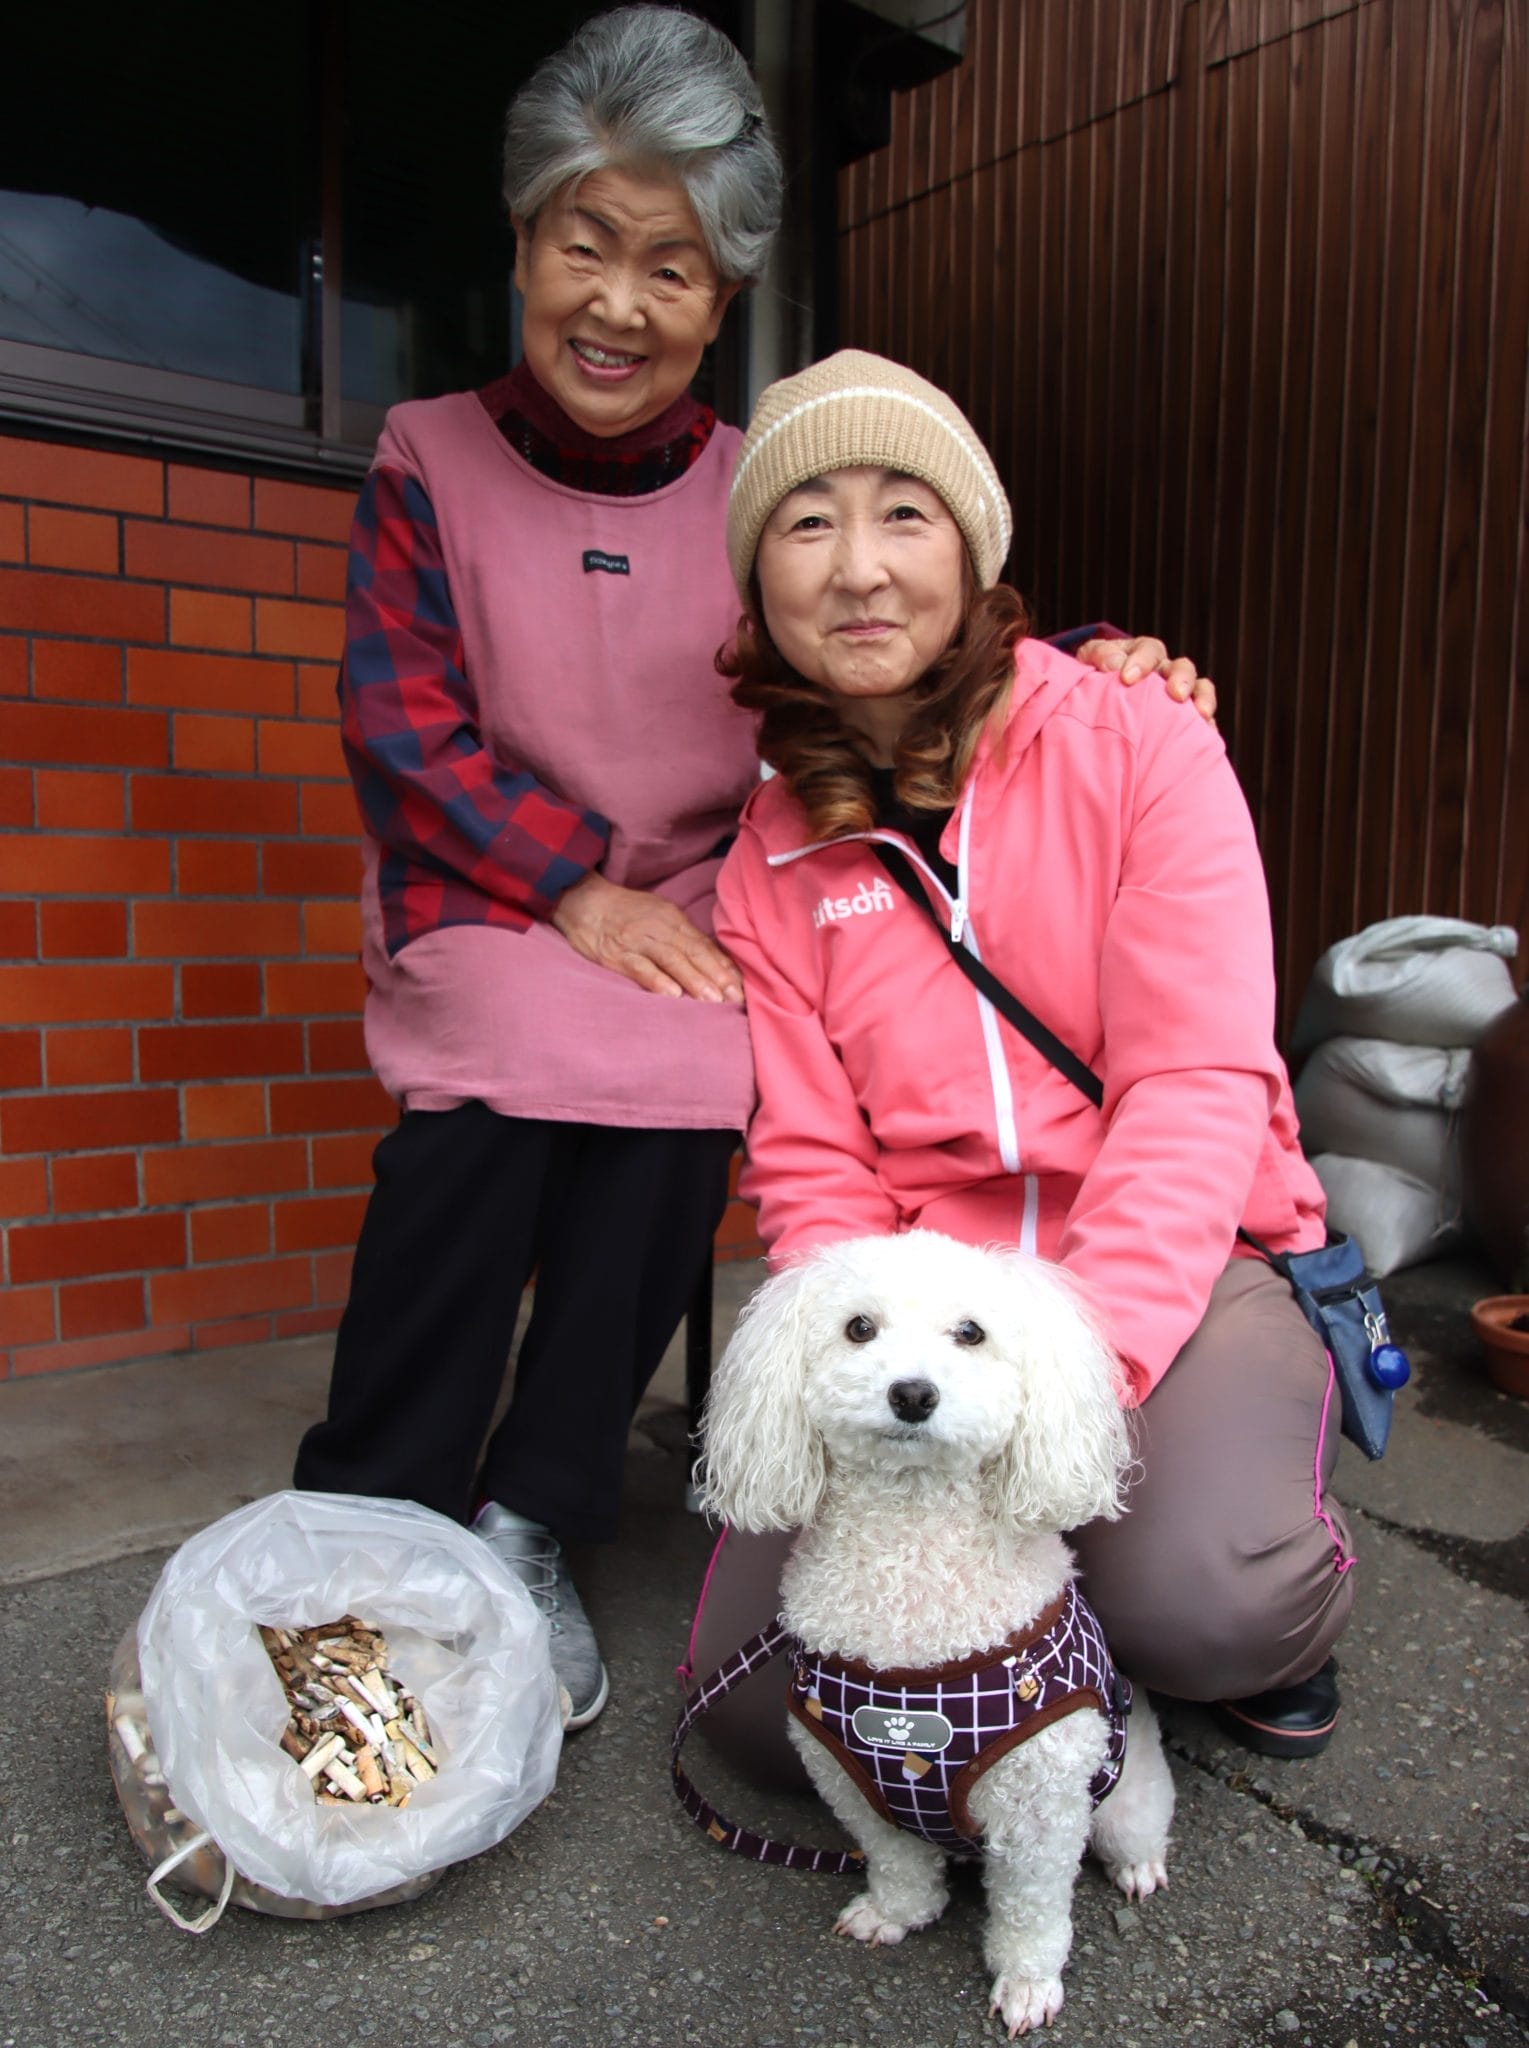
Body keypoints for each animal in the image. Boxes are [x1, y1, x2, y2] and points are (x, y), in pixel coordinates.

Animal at [699, 1230, 1174, 2038]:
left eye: (971, 1333)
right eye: (859, 1327)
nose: (913, 1394)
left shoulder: (1042, 1804)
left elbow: (1032, 1908)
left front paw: (1027, 1982)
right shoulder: (852, 1781)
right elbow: (895, 1859)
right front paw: (897, 1912)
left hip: (1122, 1788)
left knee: (1135, 1828)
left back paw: (1138, 1865)